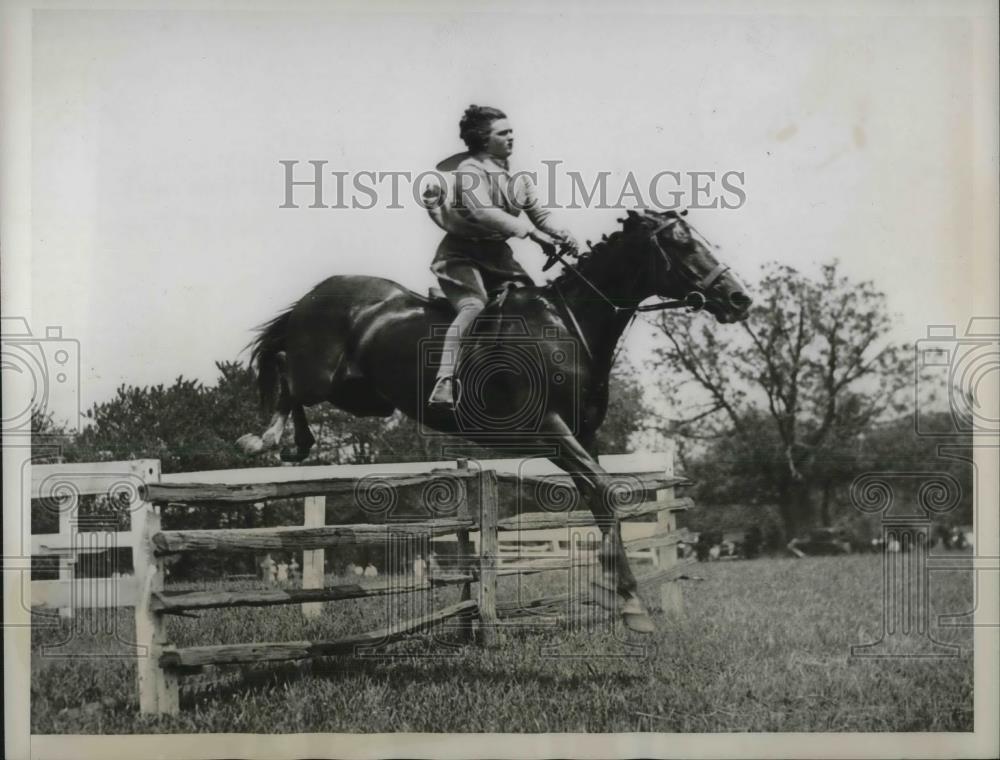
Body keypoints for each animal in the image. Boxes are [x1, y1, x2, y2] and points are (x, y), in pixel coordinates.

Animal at [236, 208, 752, 628]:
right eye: (682, 244)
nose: (738, 298)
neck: (569, 326)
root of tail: (320, 289)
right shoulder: (549, 430)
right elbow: (605, 491)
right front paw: (625, 598)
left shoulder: (585, 436)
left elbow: (600, 498)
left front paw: (620, 596)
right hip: (322, 376)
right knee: (280, 364)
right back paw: (263, 438)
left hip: (363, 397)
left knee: (289, 376)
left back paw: (294, 443)